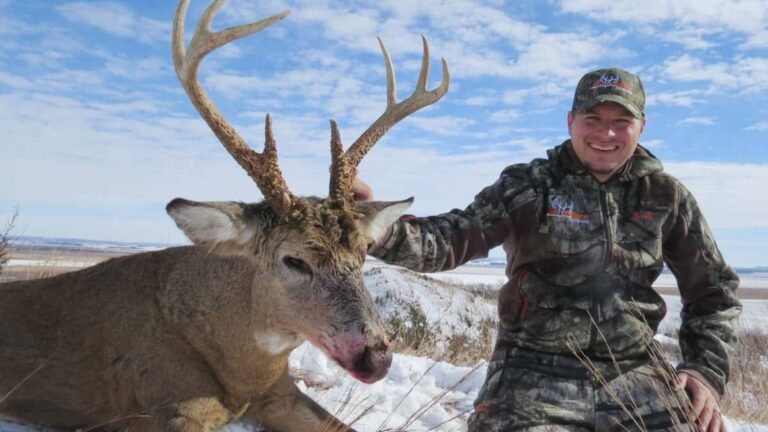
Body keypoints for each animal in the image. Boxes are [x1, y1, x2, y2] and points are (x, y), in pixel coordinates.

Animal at [0, 0, 449, 431]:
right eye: (294, 260)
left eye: (362, 254)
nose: (377, 358)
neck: (242, 370)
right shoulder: (168, 402)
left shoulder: (281, 392)